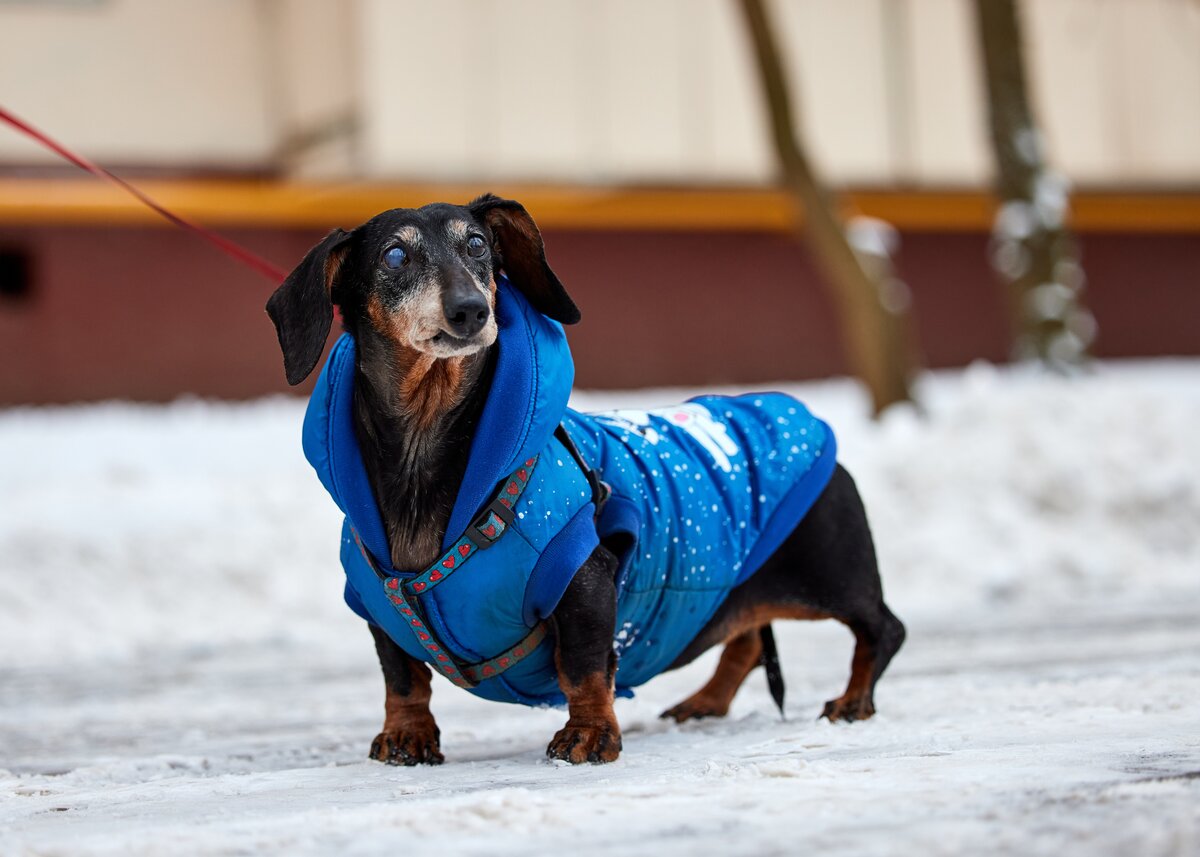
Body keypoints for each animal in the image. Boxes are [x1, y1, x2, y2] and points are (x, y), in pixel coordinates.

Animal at [262, 193, 902, 763]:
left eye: (477, 246)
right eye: (395, 256)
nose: (472, 310)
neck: (426, 442)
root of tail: (810, 424)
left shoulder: (583, 576)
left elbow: (585, 667)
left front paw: (590, 734)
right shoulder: (379, 606)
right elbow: (402, 679)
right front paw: (407, 735)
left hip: (831, 578)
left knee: (883, 628)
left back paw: (852, 700)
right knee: (746, 640)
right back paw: (705, 702)